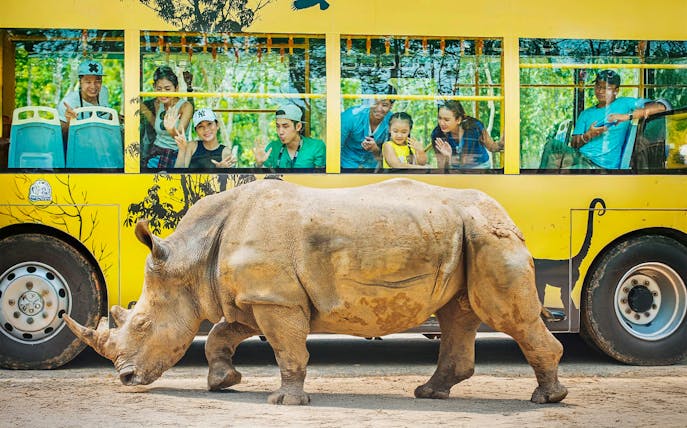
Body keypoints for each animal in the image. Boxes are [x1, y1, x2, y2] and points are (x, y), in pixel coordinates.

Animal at [64, 178, 567, 405]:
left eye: (143, 324)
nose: (125, 380)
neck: (191, 258)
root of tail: (507, 216)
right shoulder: (256, 297)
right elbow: (223, 334)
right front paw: (224, 382)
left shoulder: (275, 299)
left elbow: (287, 349)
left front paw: (284, 402)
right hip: (464, 235)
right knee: (457, 315)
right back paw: (428, 393)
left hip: (486, 236)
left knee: (506, 317)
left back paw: (546, 399)